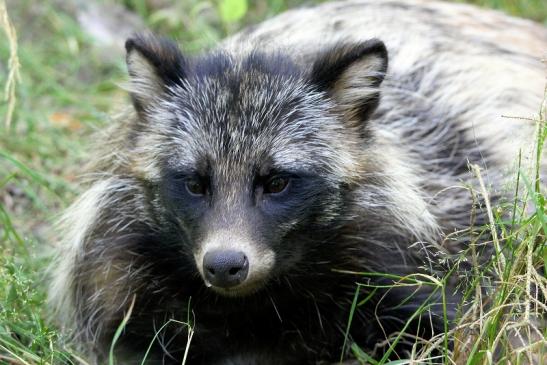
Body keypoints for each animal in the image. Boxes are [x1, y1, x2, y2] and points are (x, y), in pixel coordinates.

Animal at [49, 0, 544, 364]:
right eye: (193, 182)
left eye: (277, 182)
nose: (225, 264)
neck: (256, 307)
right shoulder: (123, 279)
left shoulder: (426, 243)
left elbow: (460, 327)